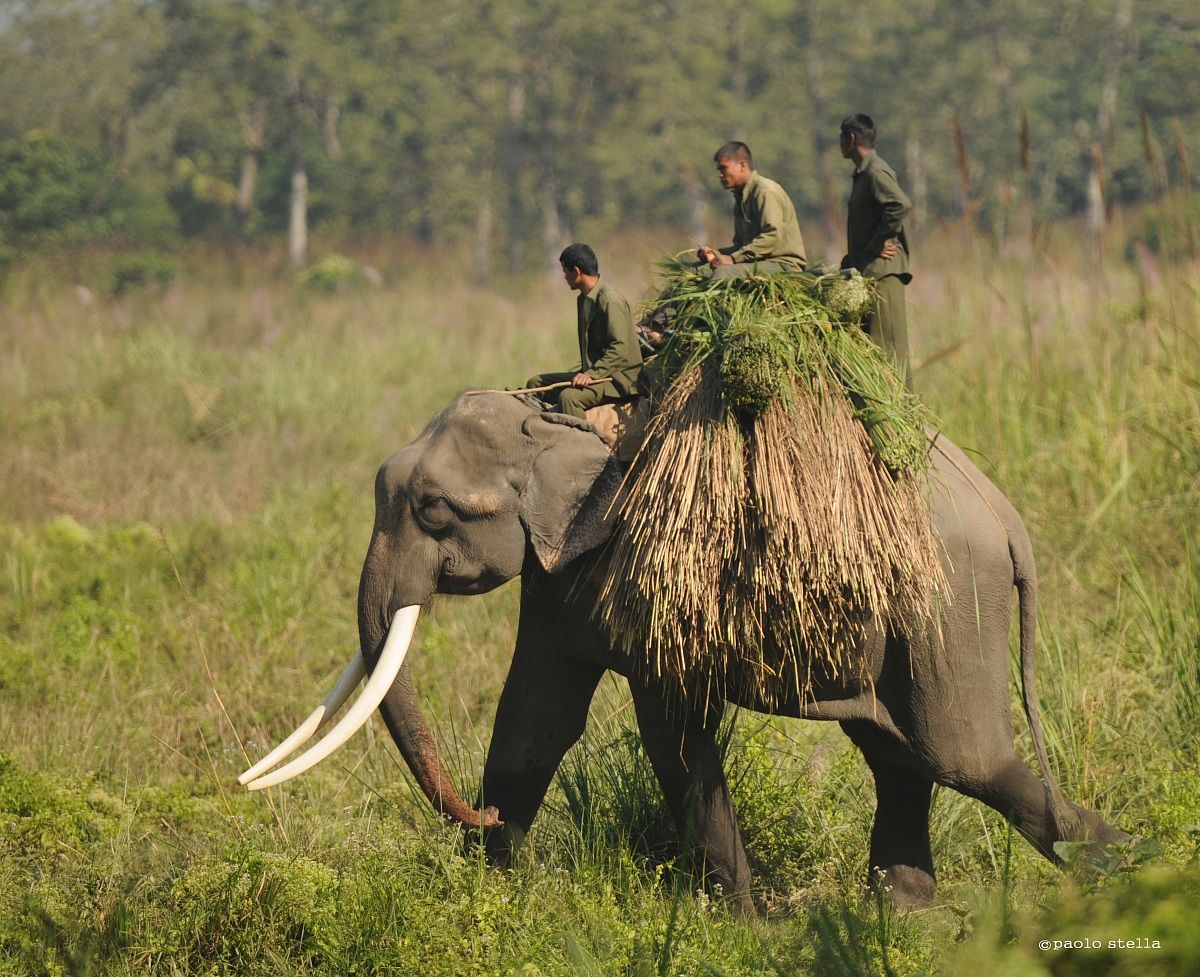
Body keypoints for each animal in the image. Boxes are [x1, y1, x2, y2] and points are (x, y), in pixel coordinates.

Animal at [240, 390, 1125, 914]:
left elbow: (672, 733)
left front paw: (743, 924)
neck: (556, 424)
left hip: (948, 603)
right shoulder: (558, 571)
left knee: (961, 754)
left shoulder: (649, 562)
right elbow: (535, 718)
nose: (475, 814)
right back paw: (902, 914)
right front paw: (489, 894)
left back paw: (1124, 871)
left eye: (432, 507)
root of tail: (1006, 514)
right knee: (898, 753)